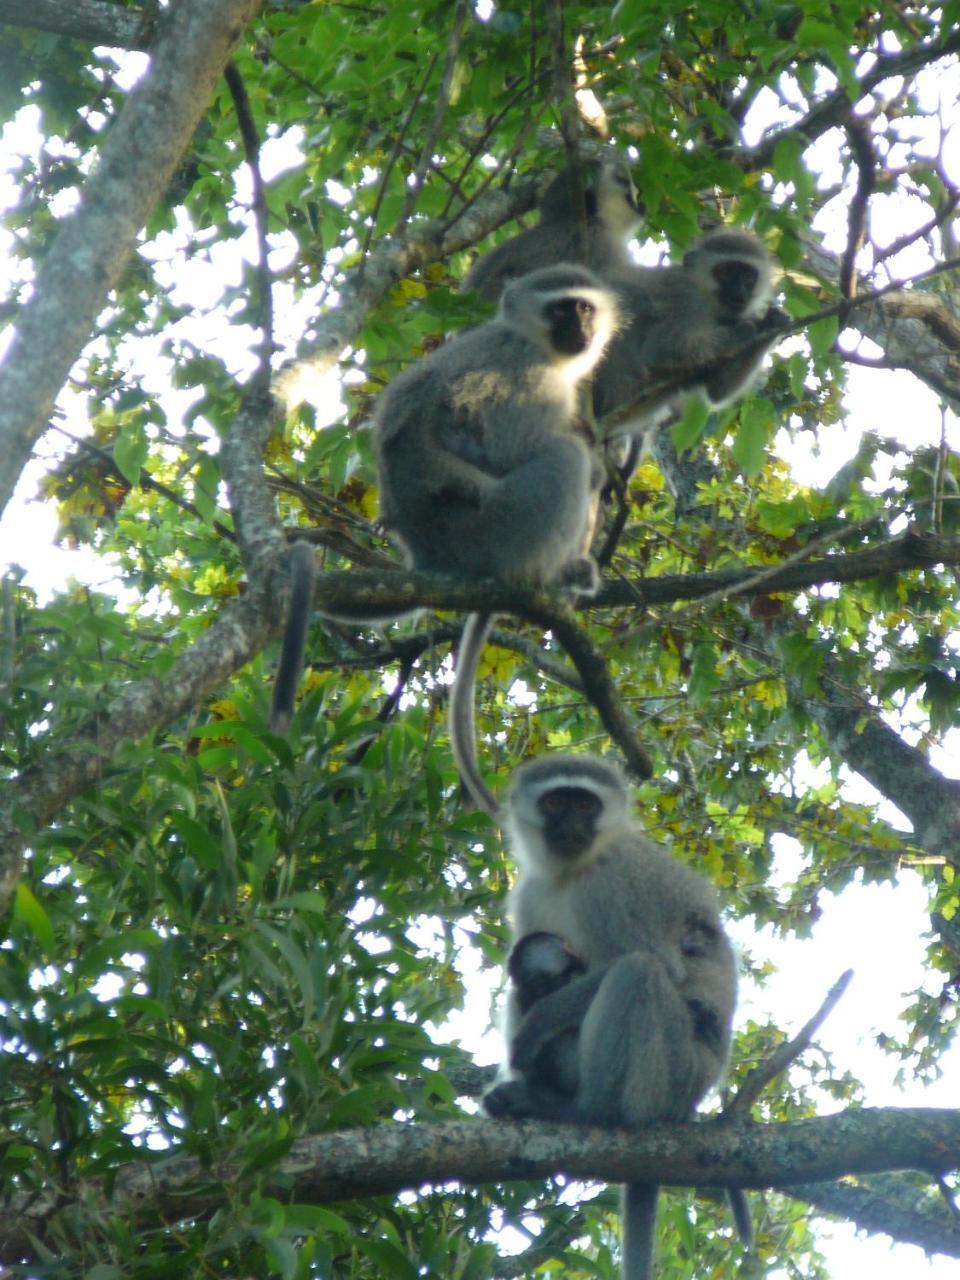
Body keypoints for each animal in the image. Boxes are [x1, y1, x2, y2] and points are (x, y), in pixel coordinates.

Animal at [371, 264, 619, 814]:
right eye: (560, 309)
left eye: (584, 307)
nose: (581, 329)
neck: (531, 340)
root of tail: (432, 553)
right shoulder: (529, 379)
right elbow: (509, 449)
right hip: (504, 525)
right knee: (570, 457)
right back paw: (554, 571)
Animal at [483, 747, 742, 1280]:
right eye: (556, 802)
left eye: (585, 803)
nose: (571, 825)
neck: (574, 871)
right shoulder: (530, 894)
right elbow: (526, 970)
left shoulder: (617, 884)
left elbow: (656, 962)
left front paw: (540, 1023)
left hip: (675, 1074)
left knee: (639, 972)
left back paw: (583, 1111)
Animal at [593, 230, 788, 445]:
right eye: (725, 272)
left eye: (748, 275)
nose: (739, 293)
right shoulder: (686, 298)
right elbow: (660, 349)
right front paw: (745, 331)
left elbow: (718, 390)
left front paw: (771, 322)